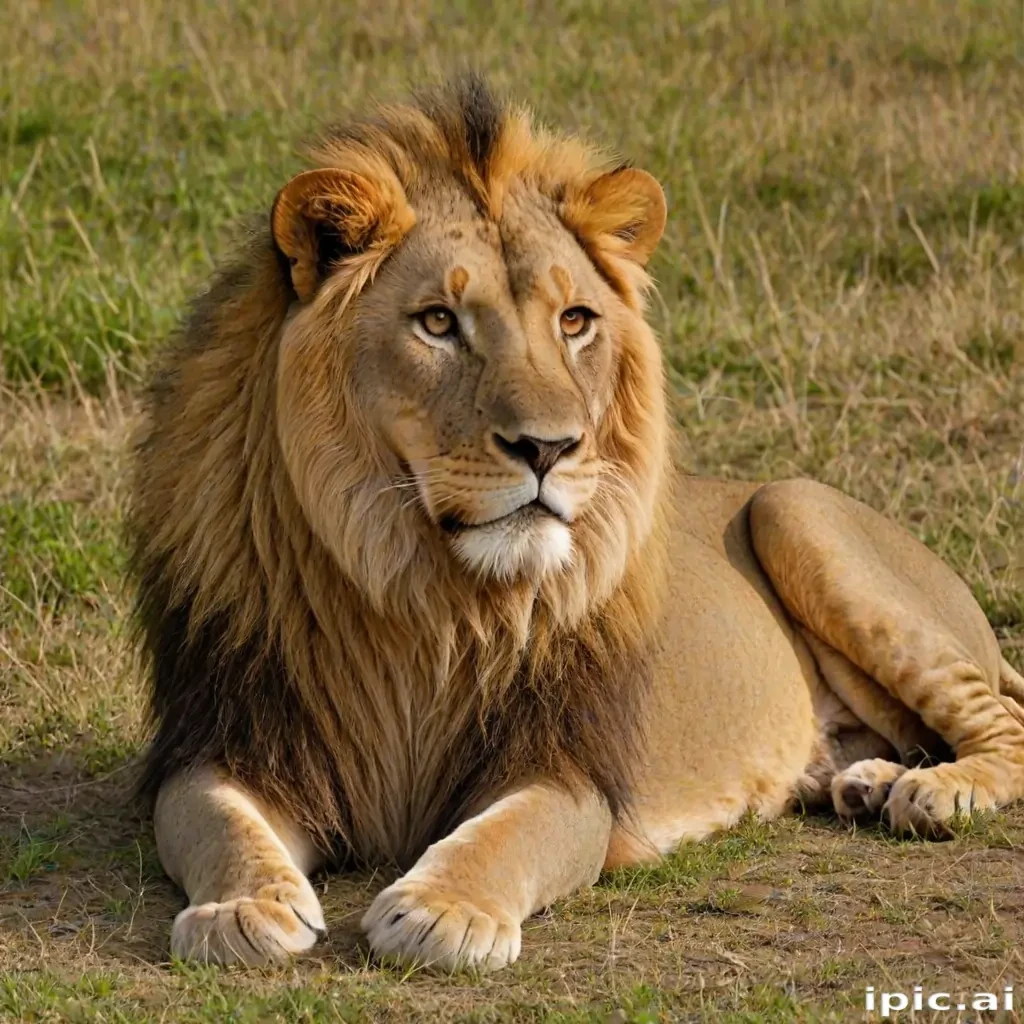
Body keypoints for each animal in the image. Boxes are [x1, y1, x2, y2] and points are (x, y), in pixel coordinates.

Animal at [129, 76, 1024, 971]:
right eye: (438, 321)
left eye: (574, 321)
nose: (549, 447)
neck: (425, 593)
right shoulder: (227, 739)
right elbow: (221, 824)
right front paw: (242, 909)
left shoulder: (566, 769)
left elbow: (504, 838)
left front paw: (445, 911)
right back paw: (866, 779)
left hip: (794, 507)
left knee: (1006, 723)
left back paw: (933, 791)